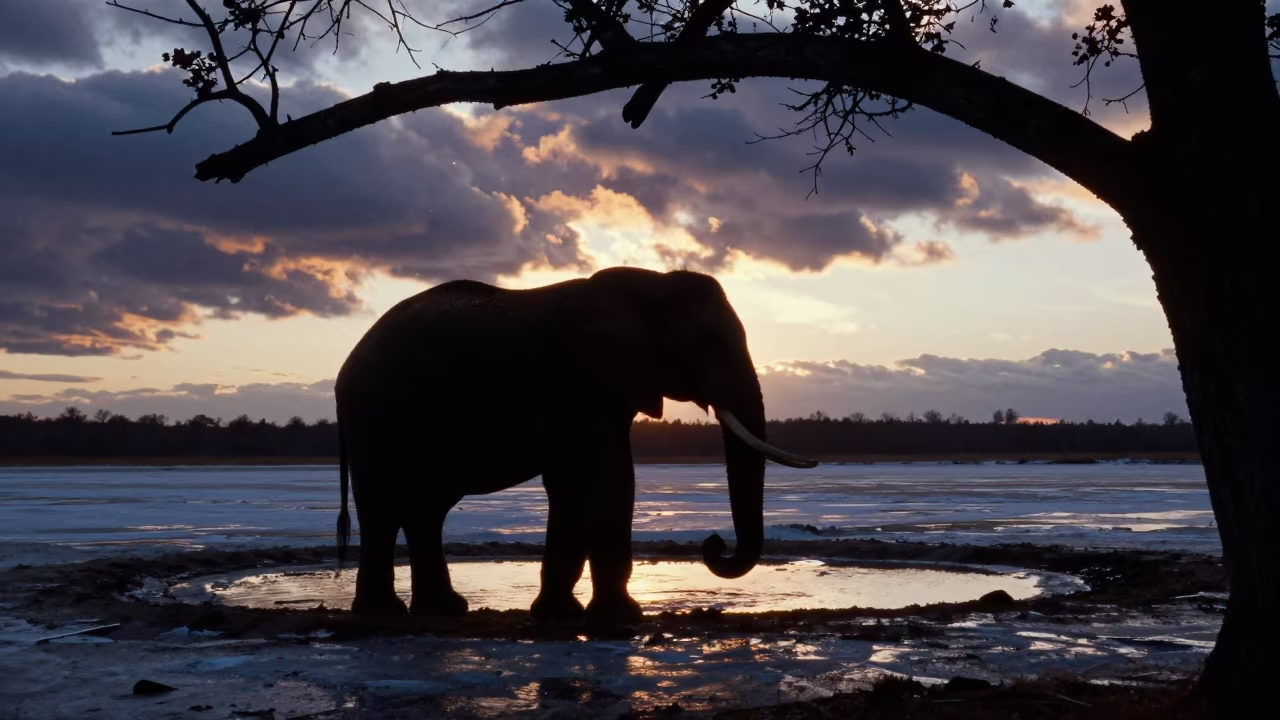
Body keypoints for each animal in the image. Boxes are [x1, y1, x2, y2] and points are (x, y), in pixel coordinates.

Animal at [333, 266, 817, 625]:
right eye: (707, 341)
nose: (713, 543)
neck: (646, 281)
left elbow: (585, 478)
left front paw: (561, 614)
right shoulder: (562, 378)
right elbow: (603, 474)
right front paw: (620, 617)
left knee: (425, 508)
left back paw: (442, 611)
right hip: (373, 415)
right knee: (383, 503)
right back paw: (383, 614)